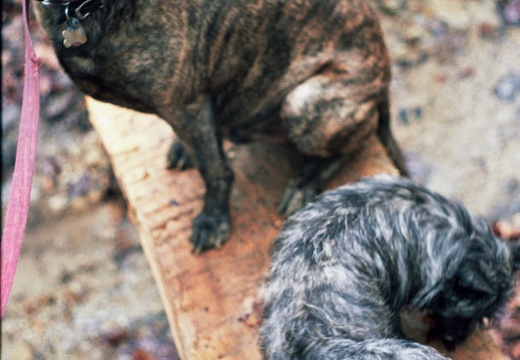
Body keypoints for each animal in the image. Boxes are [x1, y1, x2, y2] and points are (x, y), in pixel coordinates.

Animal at [35, 0, 406, 253]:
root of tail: (385, 74)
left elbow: (215, 171)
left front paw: (213, 220)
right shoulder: (192, 107)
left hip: (303, 104)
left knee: (357, 138)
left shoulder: (185, 102)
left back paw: (304, 181)